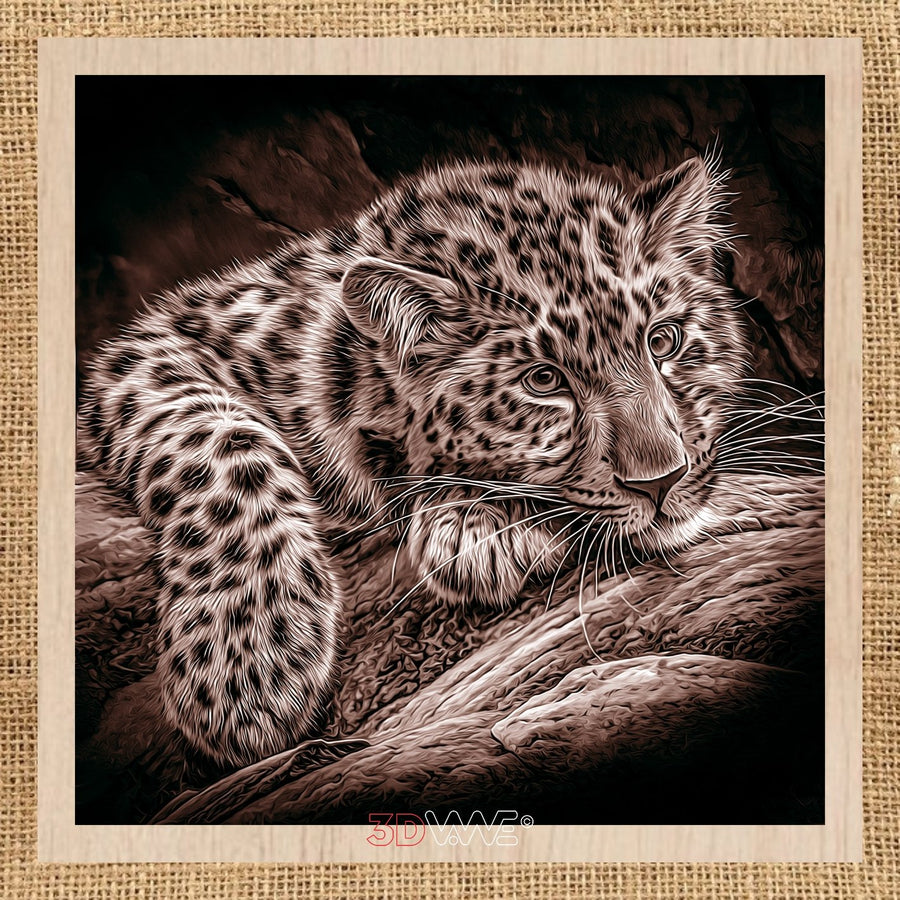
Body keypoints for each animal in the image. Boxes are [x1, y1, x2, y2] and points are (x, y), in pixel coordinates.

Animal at [78, 152, 753, 771]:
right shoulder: (154, 349)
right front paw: (247, 667)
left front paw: (476, 527)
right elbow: (217, 437)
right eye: (542, 382)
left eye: (664, 341)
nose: (663, 480)